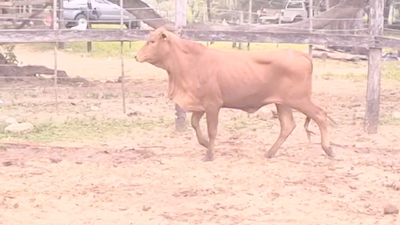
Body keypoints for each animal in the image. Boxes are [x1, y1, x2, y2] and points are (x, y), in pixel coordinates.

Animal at [136, 26, 332, 161]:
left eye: (152, 41)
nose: (136, 56)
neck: (190, 62)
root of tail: (300, 54)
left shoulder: (213, 104)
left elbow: (212, 130)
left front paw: (209, 154)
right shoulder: (201, 104)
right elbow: (194, 124)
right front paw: (205, 143)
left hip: (299, 99)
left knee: (320, 115)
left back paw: (328, 149)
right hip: (282, 103)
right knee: (287, 125)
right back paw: (270, 152)